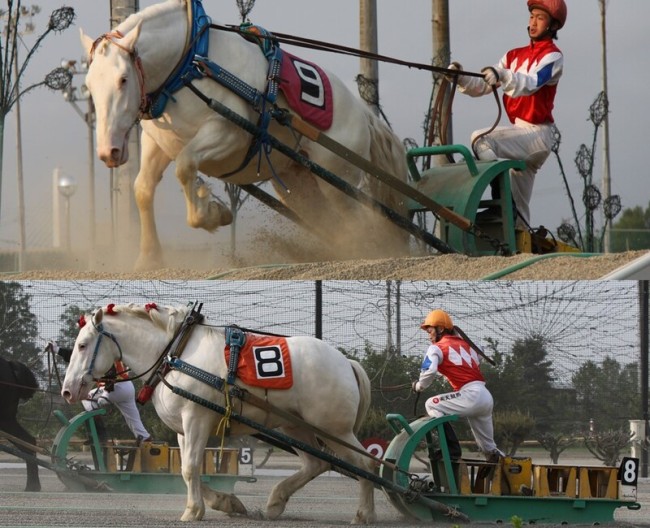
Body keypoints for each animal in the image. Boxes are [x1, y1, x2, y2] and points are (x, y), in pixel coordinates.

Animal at [62, 306, 374, 524]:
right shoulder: (183, 429)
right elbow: (186, 470)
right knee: (315, 464)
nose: (67, 390)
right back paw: (276, 502)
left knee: (365, 465)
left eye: (82, 345)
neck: (175, 353)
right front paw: (221, 502)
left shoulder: (196, 419)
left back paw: (363, 513)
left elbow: (190, 468)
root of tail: (346, 362)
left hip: (334, 430)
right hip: (296, 428)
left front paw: (193, 511)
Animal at [78, 0, 408, 270]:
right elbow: (142, 189)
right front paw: (149, 258)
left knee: (359, 220)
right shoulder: (157, 142)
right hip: (300, 185)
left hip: (338, 181)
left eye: (123, 79)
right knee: (333, 224)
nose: (109, 152)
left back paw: (373, 252)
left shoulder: (227, 134)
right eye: (89, 84)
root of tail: (365, 115)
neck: (190, 65)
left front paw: (212, 212)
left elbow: (185, 166)